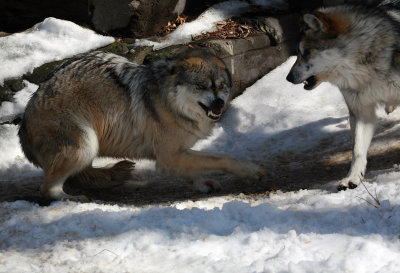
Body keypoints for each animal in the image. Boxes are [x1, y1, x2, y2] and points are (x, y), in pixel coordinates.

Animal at [20, 48, 268, 200]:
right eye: (202, 87)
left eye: (222, 87)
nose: (219, 103)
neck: (169, 104)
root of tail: (23, 121)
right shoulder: (170, 154)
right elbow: (223, 158)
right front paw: (251, 171)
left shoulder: (173, 156)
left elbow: (193, 169)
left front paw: (201, 183)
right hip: (85, 145)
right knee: (47, 189)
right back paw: (74, 199)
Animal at [286, 3, 400, 189]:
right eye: (298, 52)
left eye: (306, 52)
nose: (288, 78)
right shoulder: (361, 113)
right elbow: (358, 150)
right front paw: (352, 178)